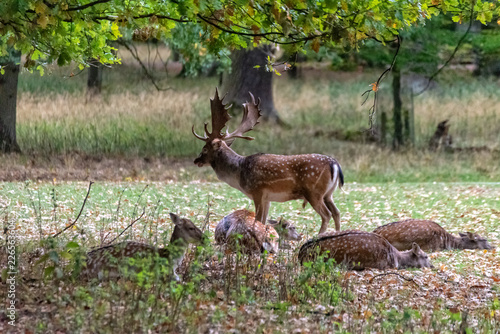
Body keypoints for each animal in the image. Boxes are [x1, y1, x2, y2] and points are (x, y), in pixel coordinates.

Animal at [191, 89, 344, 235]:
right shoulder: (267, 198)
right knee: (336, 212)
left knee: (327, 215)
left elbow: (258, 219)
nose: (196, 160)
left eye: (205, 149)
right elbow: (264, 221)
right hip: (328, 194)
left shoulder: (257, 191)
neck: (239, 173)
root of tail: (335, 164)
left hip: (314, 191)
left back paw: (319, 236)